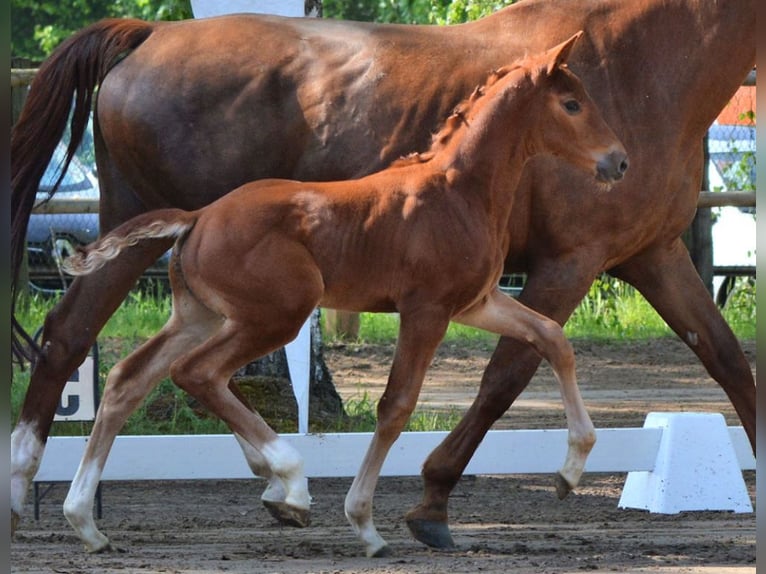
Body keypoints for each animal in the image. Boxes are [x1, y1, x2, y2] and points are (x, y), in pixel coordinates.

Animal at [10, 0, 756, 552]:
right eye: (572, 105)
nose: (617, 162)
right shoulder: (522, 275)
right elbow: (449, 392)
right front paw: (403, 514)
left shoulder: (561, 277)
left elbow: (691, 357)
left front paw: (571, 469)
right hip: (263, 304)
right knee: (151, 361)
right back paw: (277, 481)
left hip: (196, 303)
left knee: (124, 370)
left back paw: (78, 514)